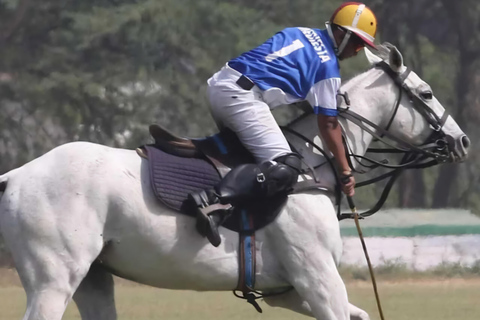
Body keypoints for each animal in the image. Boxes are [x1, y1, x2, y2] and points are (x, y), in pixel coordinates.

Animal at [0, 45, 468, 320]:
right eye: (426, 94)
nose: (462, 141)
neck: (312, 166)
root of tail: (15, 175)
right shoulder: (317, 277)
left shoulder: (285, 287)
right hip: (54, 278)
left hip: (93, 278)